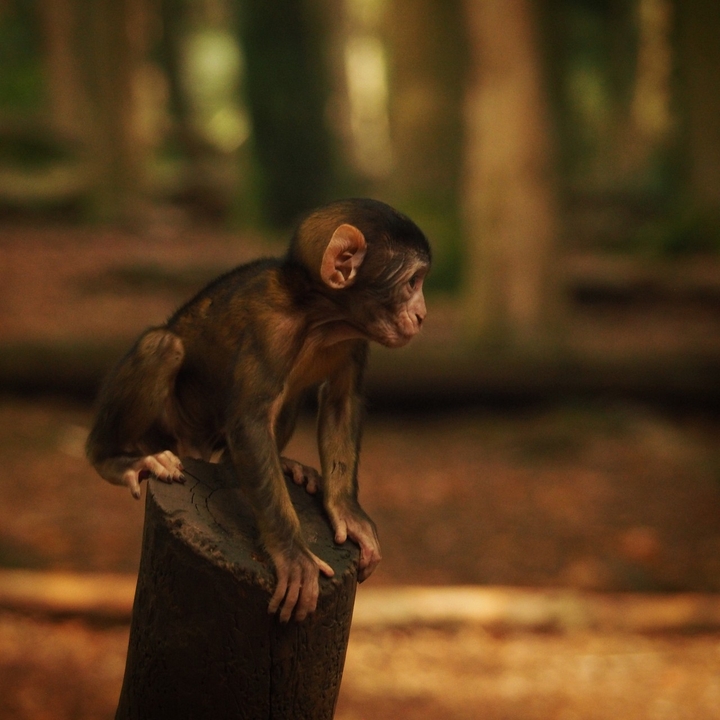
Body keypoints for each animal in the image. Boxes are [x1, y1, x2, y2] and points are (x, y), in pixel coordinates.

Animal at [86, 198, 431, 622]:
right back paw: (113, 458)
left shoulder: (355, 336)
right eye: (413, 282)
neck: (319, 315)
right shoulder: (271, 329)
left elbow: (341, 401)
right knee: (163, 347)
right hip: (169, 427)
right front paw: (293, 555)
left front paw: (348, 513)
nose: (422, 313)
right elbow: (250, 423)